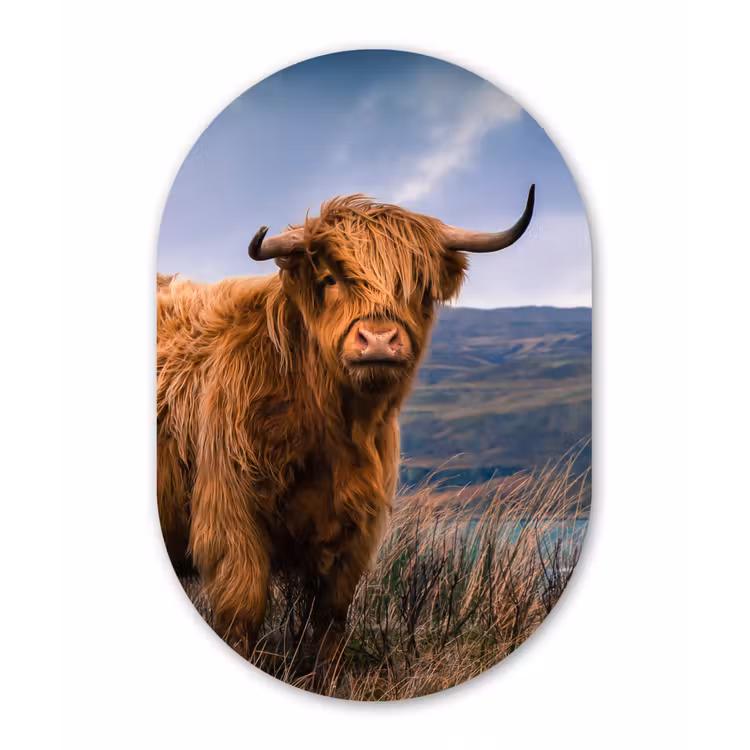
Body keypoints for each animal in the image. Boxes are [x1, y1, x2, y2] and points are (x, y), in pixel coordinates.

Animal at [156, 187, 535, 667]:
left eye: (417, 285)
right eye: (331, 278)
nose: (378, 340)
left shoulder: (354, 527)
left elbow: (331, 619)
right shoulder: (230, 513)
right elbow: (242, 610)